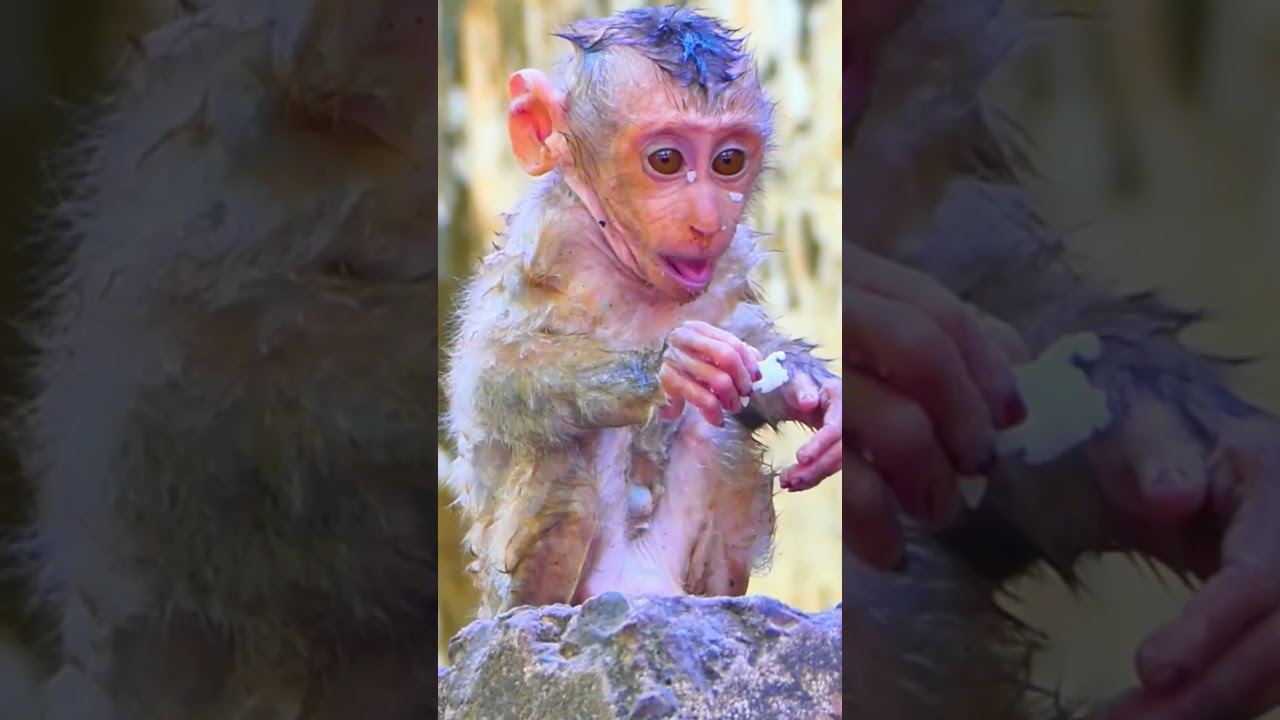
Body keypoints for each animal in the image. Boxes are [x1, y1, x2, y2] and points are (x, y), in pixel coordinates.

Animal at [441, 7, 846, 617]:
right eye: (667, 160)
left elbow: (748, 345)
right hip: (507, 586)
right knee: (564, 448)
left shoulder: (727, 265)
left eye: (728, 161)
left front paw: (812, 392)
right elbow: (487, 375)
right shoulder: (545, 240)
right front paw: (665, 367)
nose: (707, 220)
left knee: (719, 432)